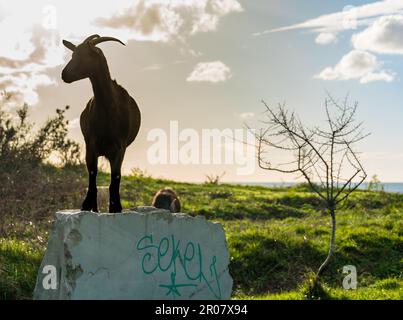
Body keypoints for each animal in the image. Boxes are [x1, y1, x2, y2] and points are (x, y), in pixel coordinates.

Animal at [60, 34, 141, 212]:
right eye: (73, 54)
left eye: (86, 55)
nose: (64, 74)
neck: (108, 108)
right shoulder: (91, 143)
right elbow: (92, 173)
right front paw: (87, 205)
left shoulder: (120, 146)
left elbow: (116, 176)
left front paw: (116, 207)